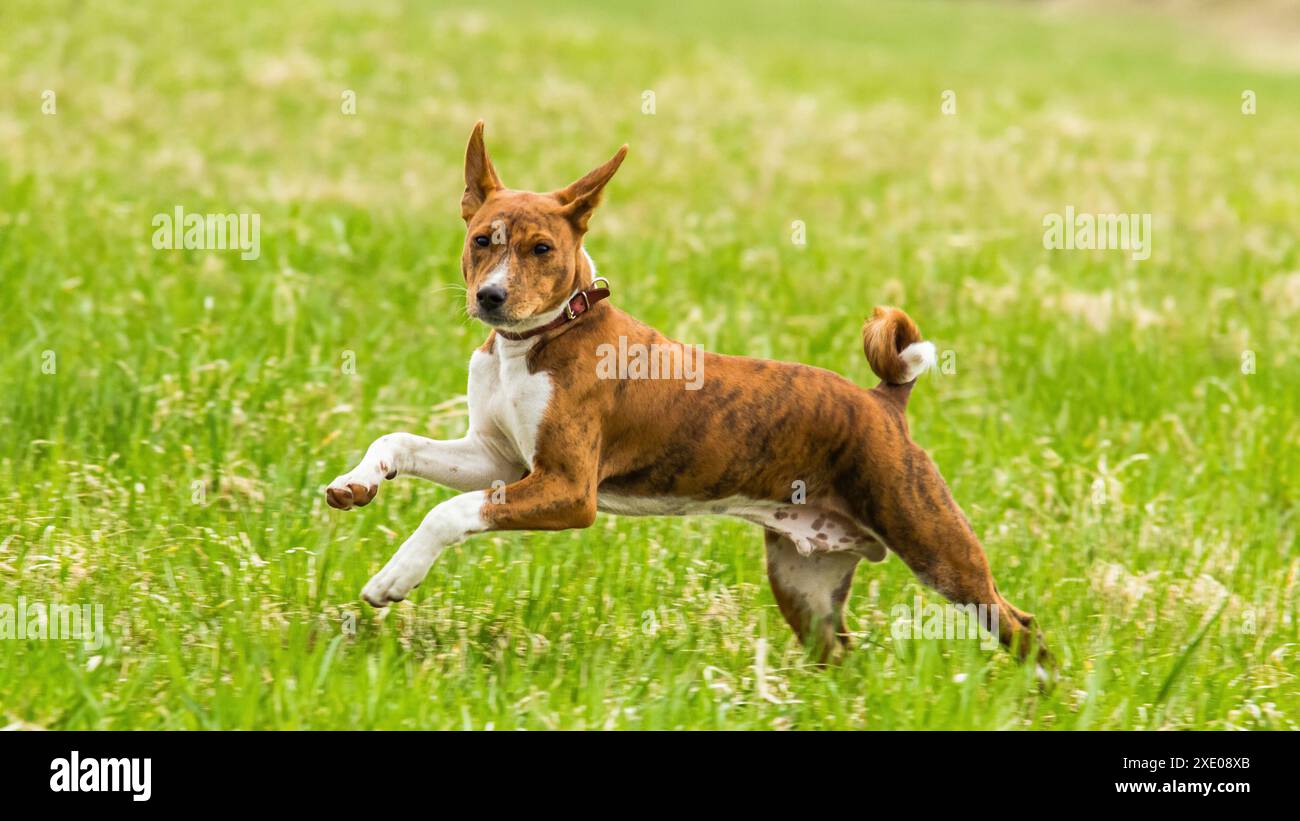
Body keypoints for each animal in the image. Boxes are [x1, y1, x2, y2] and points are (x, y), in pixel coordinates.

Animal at [330, 123, 1050, 675]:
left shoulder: (567, 487)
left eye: (542, 249)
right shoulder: (499, 458)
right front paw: (356, 483)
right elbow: (398, 442)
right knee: (842, 655)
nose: (491, 297)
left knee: (1023, 626)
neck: (536, 343)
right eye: (483, 239)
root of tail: (884, 401)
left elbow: (448, 513)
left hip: (935, 545)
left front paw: (394, 577)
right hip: (805, 580)